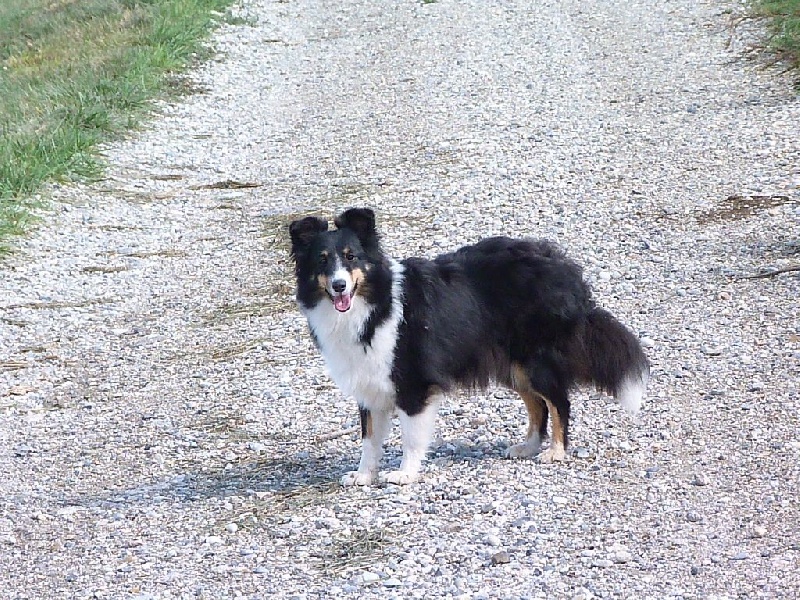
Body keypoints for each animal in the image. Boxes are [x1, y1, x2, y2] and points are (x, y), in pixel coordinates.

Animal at [290, 209, 648, 486]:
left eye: (352, 257)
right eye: (323, 261)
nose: (339, 286)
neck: (374, 305)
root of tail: (566, 271)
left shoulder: (412, 384)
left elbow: (410, 437)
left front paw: (405, 474)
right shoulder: (368, 384)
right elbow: (369, 439)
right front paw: (363, 476)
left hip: (535, 360)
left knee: (559, 401)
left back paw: (555, 452)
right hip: (513, 366)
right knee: (538, 405)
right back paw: (527, 447)